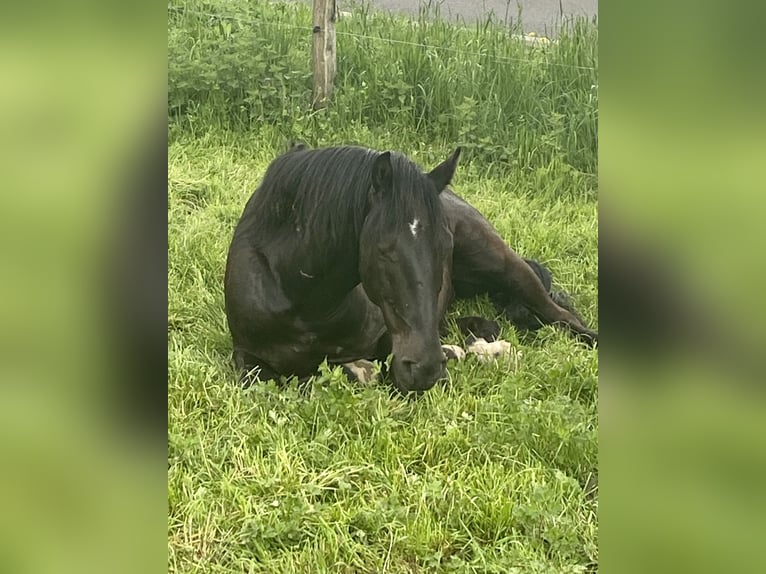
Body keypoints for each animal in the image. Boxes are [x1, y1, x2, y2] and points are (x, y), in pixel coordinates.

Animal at [225, 146, 596, 394]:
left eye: (445, 247)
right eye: (384, 250)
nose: (426, 368)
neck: (305, 301)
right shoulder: (246, 357)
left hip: (505, 266)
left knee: (564, 318)